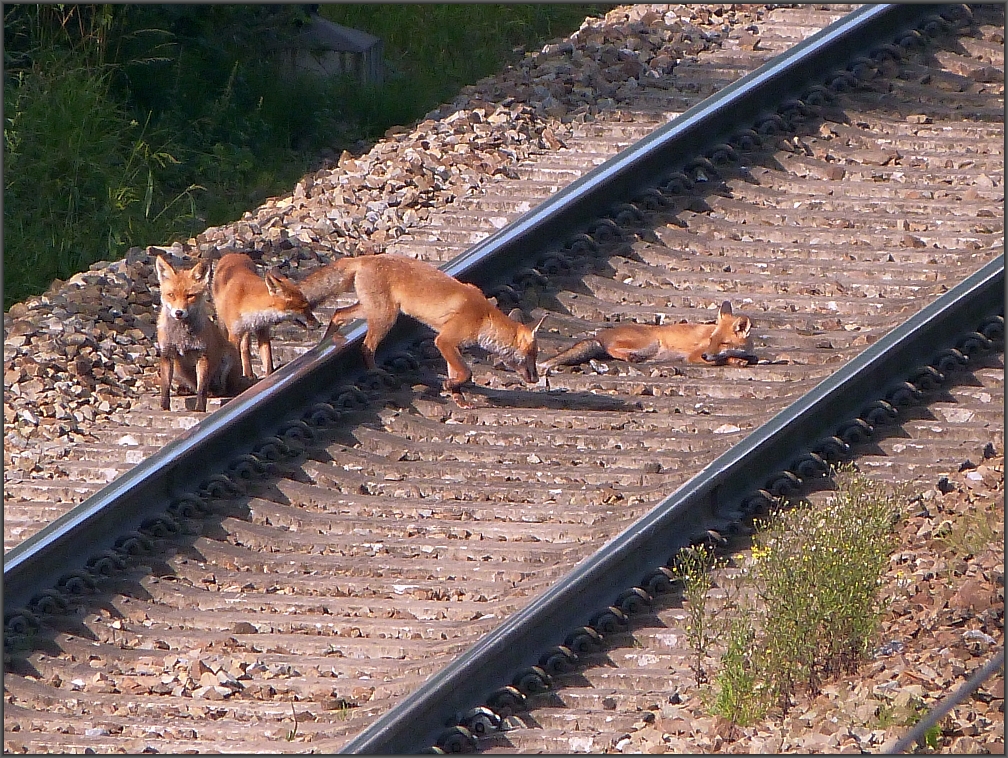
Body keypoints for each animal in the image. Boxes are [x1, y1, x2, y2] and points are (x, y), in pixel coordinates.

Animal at [155, 255, 250, 412]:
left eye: (190, 296)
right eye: (171, 295)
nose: (179, 312)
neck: (182, 337)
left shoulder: (202, 355)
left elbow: (201, 389)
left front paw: (199, 409)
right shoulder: (167, 354)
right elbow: (165, 388)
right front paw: (164, 408)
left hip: (228, 359)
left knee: (220, 388)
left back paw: (216, 391)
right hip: (177, 369)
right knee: (192, 386)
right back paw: (185, 389)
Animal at [298, 254, 542, 405]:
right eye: (532, 355)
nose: (537, 379)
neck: (483, 317)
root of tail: (366, 257)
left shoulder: (450, 345)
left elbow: (458, 374)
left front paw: (459, 399)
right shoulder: (444, 341)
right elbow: (466, 373)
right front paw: (451, 386)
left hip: (370, 311)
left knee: (338, 313)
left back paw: (326, 342)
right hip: (385, 317)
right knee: (366, 347)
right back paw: (376, 373)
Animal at [539, 300, 755, 374]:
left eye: (723, 342)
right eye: (711, 340)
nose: (705, 356)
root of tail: (601, 334)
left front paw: (744, 358)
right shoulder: (693, 356)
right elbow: (723, 359)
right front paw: (735, 360)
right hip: (651, 343)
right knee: (611, 350)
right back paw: (630, 357)